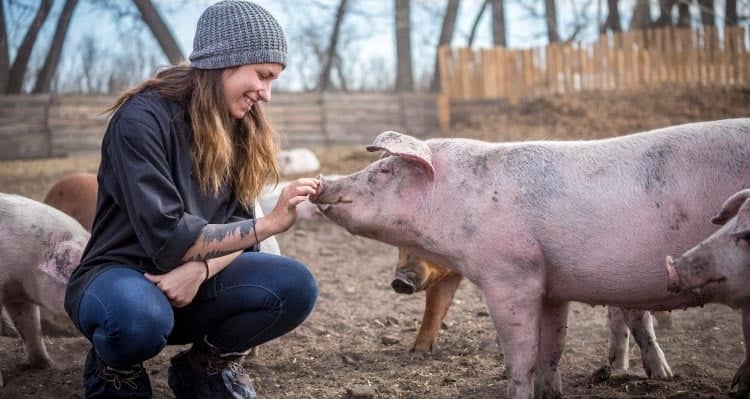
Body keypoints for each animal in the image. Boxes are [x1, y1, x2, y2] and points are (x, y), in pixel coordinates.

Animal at [312, 119, 750, 399]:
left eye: (385, 169)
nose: (322, 184)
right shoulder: (552, 287)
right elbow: (552, 349)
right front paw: (551, 393)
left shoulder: (511, 275)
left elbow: (520, 357)